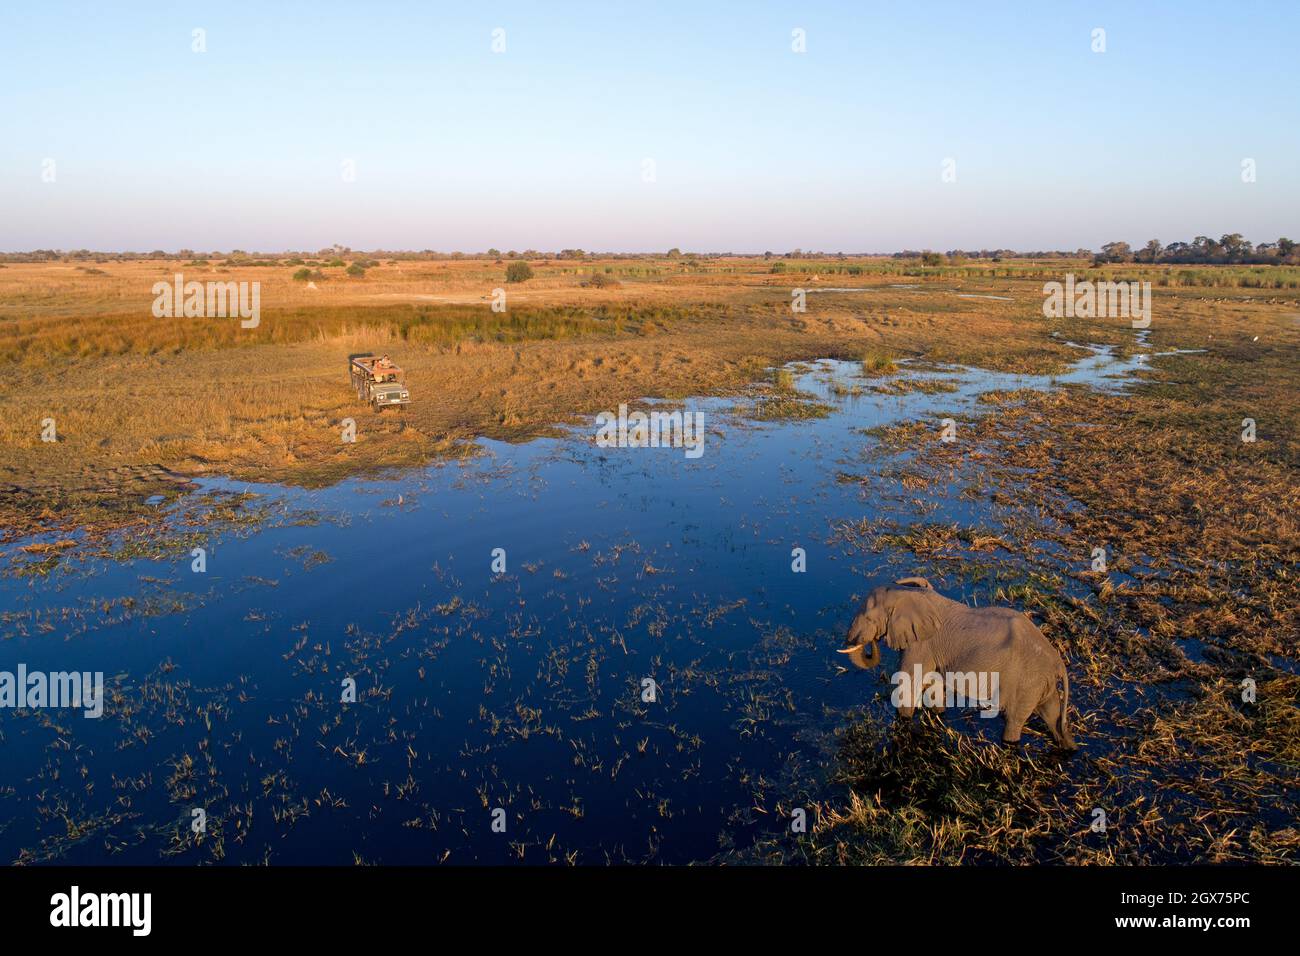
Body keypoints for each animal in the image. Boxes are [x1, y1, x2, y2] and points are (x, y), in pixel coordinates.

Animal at [839, 577, 1076, 750]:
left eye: (868, 618)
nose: (871, 641)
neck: (906, 594)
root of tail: (1058, 662)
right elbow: (933, 687)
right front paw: (938, 715)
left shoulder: (921, 644)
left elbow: (909, 685)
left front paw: (903, 723)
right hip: (1039, 684)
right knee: (1052, 715)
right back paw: (1069, 748)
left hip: (1027, 682)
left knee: (1014, 719)